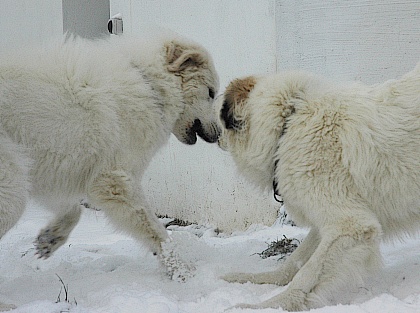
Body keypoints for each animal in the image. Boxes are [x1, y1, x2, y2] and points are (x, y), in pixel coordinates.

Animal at [0, 32, 218, 278]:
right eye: (211, 93)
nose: (219, 134)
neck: (149, 83)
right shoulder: (114, 181)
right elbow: (155, 230)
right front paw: (182, 271)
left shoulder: (52, 169)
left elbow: (73, 210)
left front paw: (51, 238)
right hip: (11, 191)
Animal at [218, 62, 418, 310]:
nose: (210, 132)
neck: (286, 124)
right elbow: (295, 261)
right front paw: (256, 280)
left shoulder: (350, 225)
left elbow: (308, 272)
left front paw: (269, 305)